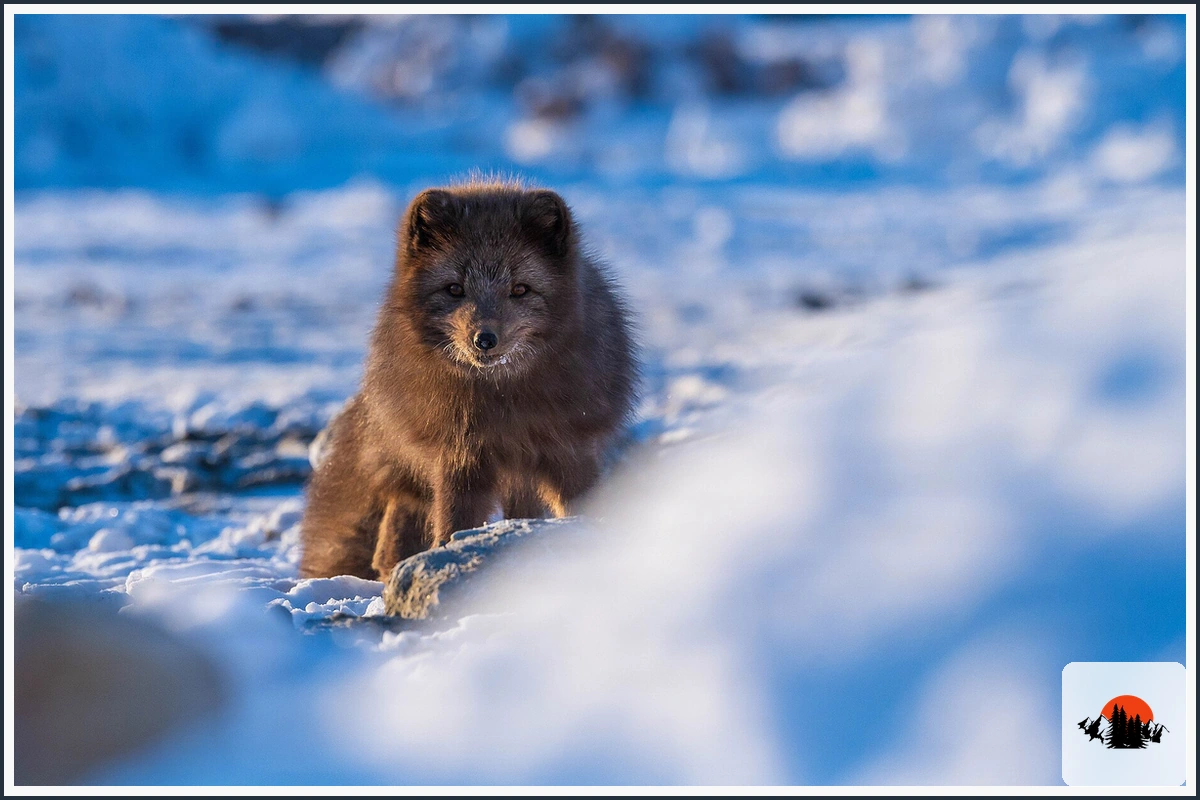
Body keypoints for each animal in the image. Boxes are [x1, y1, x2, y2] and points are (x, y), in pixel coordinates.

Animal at [299, 180, 637, 580]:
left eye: (520, 289)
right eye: (454, 289)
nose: (484, 339)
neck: (503, 401)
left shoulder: (570, 451)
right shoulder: (459, 457)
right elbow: (452, 525)